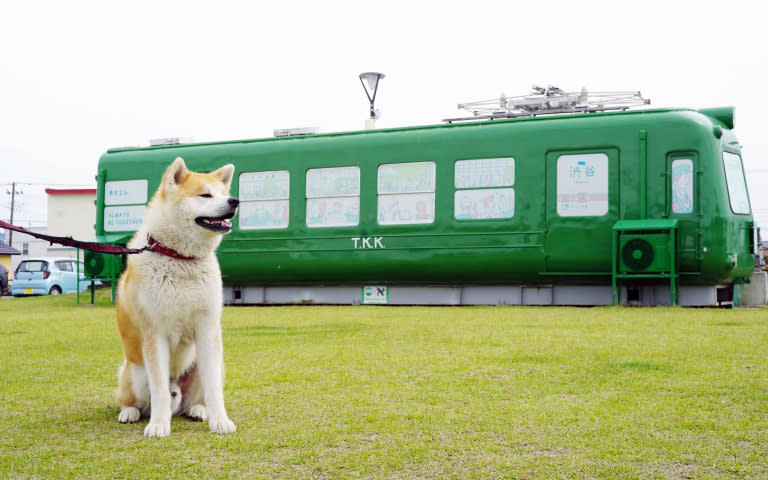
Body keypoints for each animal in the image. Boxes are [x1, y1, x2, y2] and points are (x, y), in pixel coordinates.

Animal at [115, 158, 237, 438]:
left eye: (224, 193)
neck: (180, 258)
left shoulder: (208, 328)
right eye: (205, 195)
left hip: (203, 365)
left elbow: (214, 389)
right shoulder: (154, 333)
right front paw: (159, 425)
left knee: (190, 402)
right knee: (135, 401)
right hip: (136, 372)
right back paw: (130, 413)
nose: (235, 201)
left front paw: (220, 421)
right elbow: (159, 391)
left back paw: (198, 411)